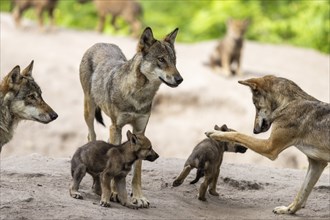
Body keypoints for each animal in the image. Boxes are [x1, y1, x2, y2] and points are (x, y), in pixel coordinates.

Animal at [79, 26, 183, 207]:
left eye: (174, 61)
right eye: (161, 59)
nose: (180, 79)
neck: (138, 96)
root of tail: (101, 42)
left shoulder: (140, 131)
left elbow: (137, 171)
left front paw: (138, 197)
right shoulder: (116, 127)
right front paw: (114, 193)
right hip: (89, 111)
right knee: (91, 135)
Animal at [206, 75, 330, 215]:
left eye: (256, 106)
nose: (254, 131)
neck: (289, 103)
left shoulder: (269, 147)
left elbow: (237, 134)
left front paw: (215, 133)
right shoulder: (317, 163)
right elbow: (301, 195)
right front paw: (288, 210)